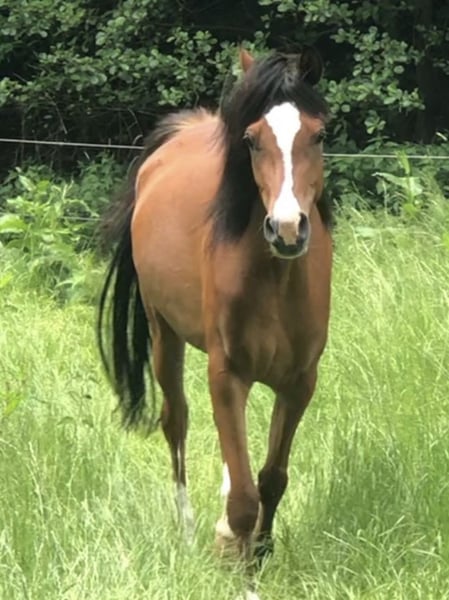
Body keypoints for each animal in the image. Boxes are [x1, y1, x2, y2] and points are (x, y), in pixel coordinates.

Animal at [97, 46, 332, 589]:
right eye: (250, 139)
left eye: (319, 135)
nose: (287, 229)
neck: (277, 279)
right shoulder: (226, 374)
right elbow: (245, 496)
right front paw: (246, 582)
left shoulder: (300, 382)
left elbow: (271, 480)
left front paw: (259, 554)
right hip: (164, 336)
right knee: (176, 423)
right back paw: (188, 534)